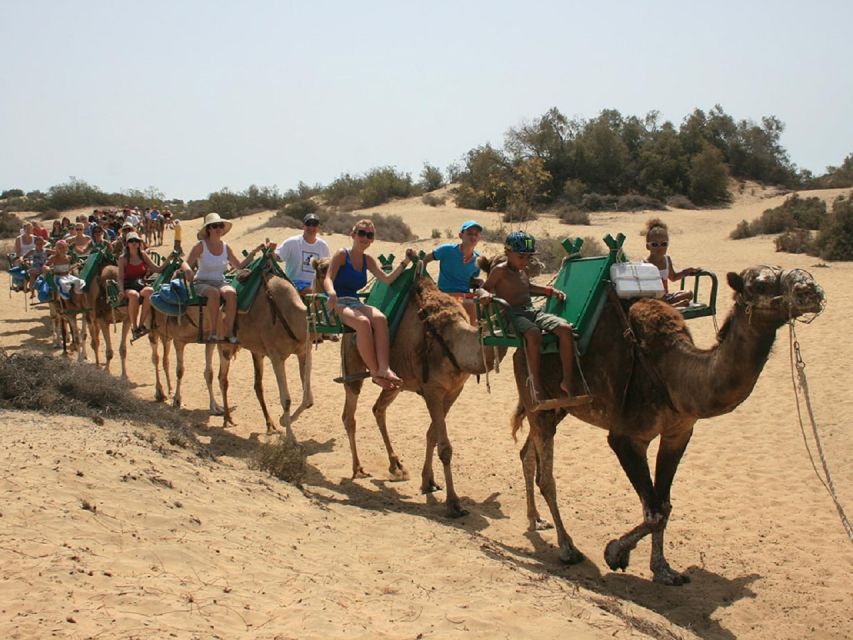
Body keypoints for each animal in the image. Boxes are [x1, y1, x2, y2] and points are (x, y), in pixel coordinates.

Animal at [310, 258, 502, 516]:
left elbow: (432, 434)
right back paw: (358, 468)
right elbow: (444, 446)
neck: (453, 339)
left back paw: (396, 465)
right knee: (349, 416)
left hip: (395, 382)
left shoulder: (454, 391)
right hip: (352, 367)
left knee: (378, 409)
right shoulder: (433, 390)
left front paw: (428, 481)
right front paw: (453, 502)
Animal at [500, 264, 824, 584]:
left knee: (527, 454)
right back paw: (567, 548)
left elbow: (664, 505)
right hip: (537, 399)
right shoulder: (626, 437)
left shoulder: (678, 433)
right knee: (546, 477)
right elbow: (653, 511)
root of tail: (518, 348)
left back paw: (535, 519)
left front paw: (663, 569)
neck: (674, 375)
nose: (812, 290)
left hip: (557, 406)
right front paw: (615, 553)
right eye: (759, 284)